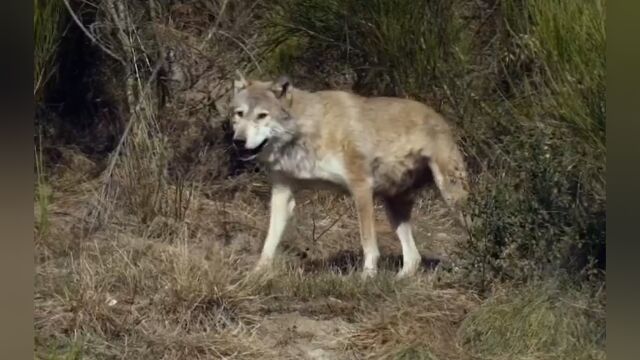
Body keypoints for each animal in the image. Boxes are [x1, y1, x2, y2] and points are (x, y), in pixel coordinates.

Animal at [230, 71, 470, 278]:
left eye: (262, 116)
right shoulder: (282, 192)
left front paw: (367, 277)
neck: (308, 130)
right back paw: (399, 279)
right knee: (413, 259)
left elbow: (368, 243)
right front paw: (256, 275)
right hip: (394, 210)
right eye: (239, 114)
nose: (238, 141)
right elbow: (269, 241)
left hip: (452, 198)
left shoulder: (361, 187)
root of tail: (440, 118)